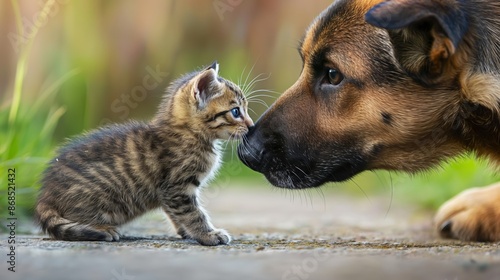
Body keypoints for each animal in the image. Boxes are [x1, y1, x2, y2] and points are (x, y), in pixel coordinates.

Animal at [35, 62, 254, 246]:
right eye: (236, 112)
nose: (251, 126)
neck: (190, 133)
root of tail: (45, 196)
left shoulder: (169, 192)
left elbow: (177, 214)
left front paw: (187, 232)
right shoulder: (177, 187)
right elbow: (193, 214)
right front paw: (208, 234)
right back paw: (100, 228)